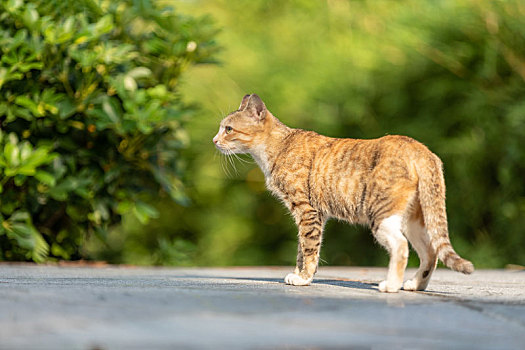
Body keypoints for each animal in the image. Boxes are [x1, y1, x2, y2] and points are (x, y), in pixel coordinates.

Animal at [211, 93, 472, 292]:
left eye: (228, 129)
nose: (213, 140)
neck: (280, 146)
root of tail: (420, 150)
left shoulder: (306, 210)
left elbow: (309, 248)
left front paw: (304, 278)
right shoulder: (314, 215)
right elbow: (301, 249)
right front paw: (298, 274)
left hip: (382, 214)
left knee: (401, 246)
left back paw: (390, 286)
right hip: (413, 218)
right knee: (430, 252)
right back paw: (415, 285)